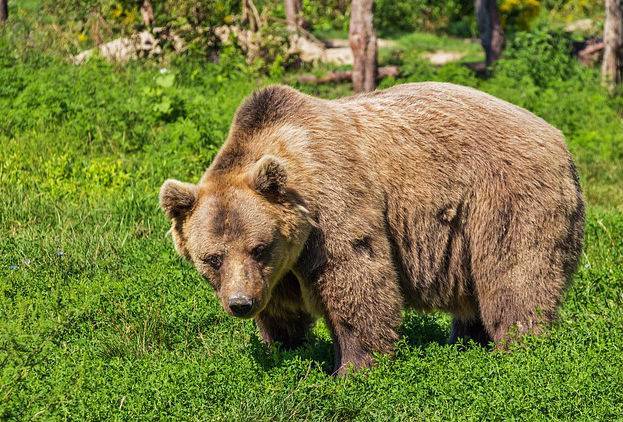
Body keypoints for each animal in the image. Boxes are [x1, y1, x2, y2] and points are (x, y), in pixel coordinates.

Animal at [160, 83, 584, 376]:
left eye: (259, 247)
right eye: (212, 258)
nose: (240, 304)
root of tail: (559, 138)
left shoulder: (333, 208)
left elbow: (357, 281)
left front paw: (353, 368)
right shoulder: (279, 269)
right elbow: (281, 310)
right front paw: (284, 348)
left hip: (505, 197)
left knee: (515, 275)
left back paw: (518, 347)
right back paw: (465, 341)